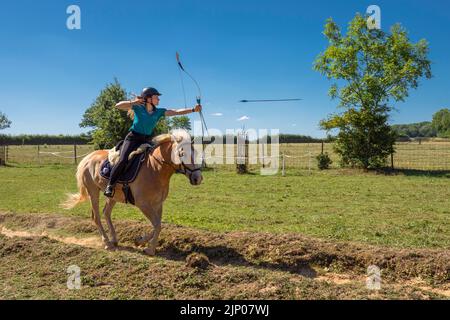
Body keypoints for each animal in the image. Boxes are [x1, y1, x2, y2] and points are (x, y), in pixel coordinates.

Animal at [61, 129, 202, 256]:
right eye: (182, 153)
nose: (198, 178)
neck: (155, 168)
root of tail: (87, 158)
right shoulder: (143, 204)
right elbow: (157, 225)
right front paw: (150, 249)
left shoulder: (157, 204)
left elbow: (157, 225)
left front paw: (140, 241)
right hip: (93, 192)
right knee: (96, 217)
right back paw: (107, 243)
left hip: (112, 196)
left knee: (106, 213)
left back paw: (114, 239)